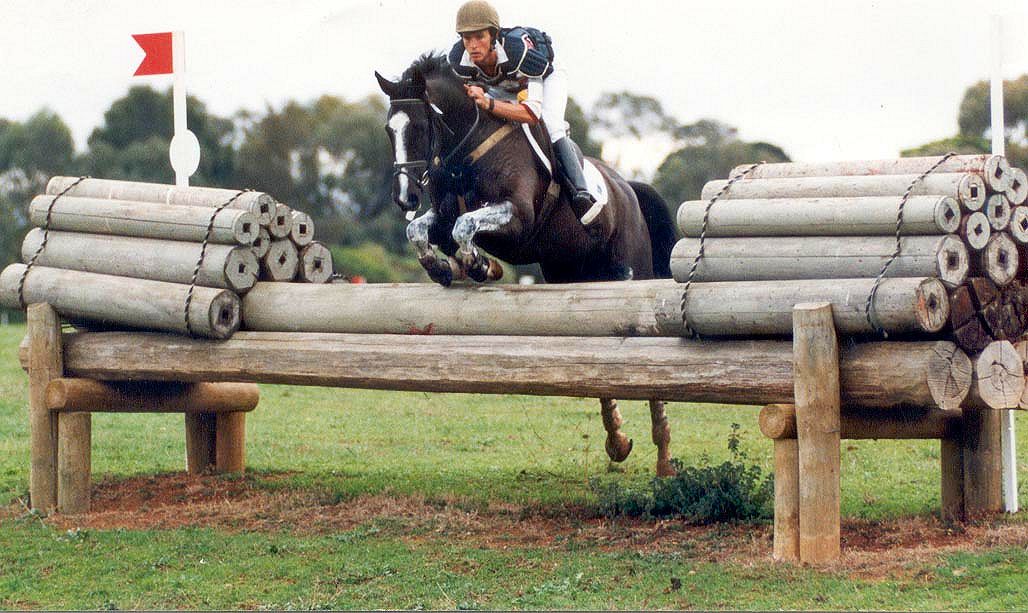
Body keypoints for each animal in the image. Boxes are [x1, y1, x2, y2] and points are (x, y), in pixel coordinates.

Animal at [374, 53, 678, 473]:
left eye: (419, 127)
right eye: (390, 130)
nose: (405, 198)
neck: (467, 151)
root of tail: (627, 188)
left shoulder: (517, 220)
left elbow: (464, 226)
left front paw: (479, 266)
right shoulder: (443, 215)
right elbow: (423, 230)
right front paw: (451, 268)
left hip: (629, 274)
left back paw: (664, 458)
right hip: (571, 279)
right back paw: (617, 441)